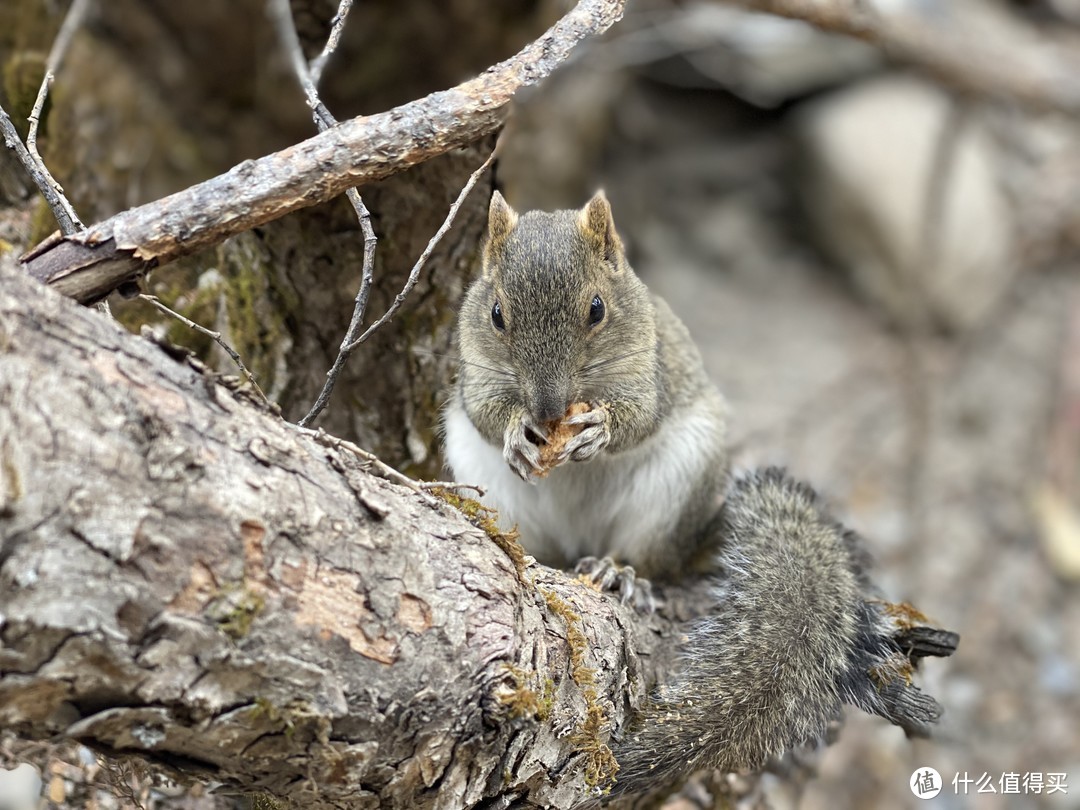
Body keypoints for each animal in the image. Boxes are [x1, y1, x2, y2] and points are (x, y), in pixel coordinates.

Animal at [442, 193, 959, 803]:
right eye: (497, 314)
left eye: (596, 308)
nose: (546, 410)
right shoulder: (472, 371)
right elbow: (483, 408)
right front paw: (516, 434)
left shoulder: (653, 367)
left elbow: (640, 415)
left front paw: (599, 429)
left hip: (675, 486)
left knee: (654, 561)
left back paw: (619, 572)